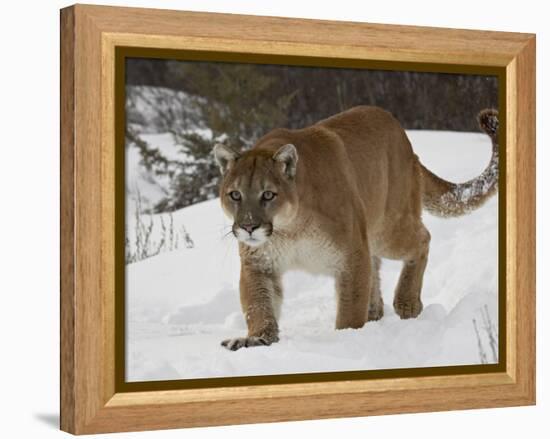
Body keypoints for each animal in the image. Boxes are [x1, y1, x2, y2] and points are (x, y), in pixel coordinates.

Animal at [213, 105, 498, 350]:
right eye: (235, 195)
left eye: (268, 195)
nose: (249, 227)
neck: (290, 229)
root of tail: (408, 145)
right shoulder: (259, 264)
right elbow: (259, 305)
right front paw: (256, 339)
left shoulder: (350, 256)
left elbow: (350, 310)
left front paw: (346, 339)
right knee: (376, 267)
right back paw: (374, 313)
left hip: (387, 229)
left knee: (423, 238)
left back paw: (407, 303)